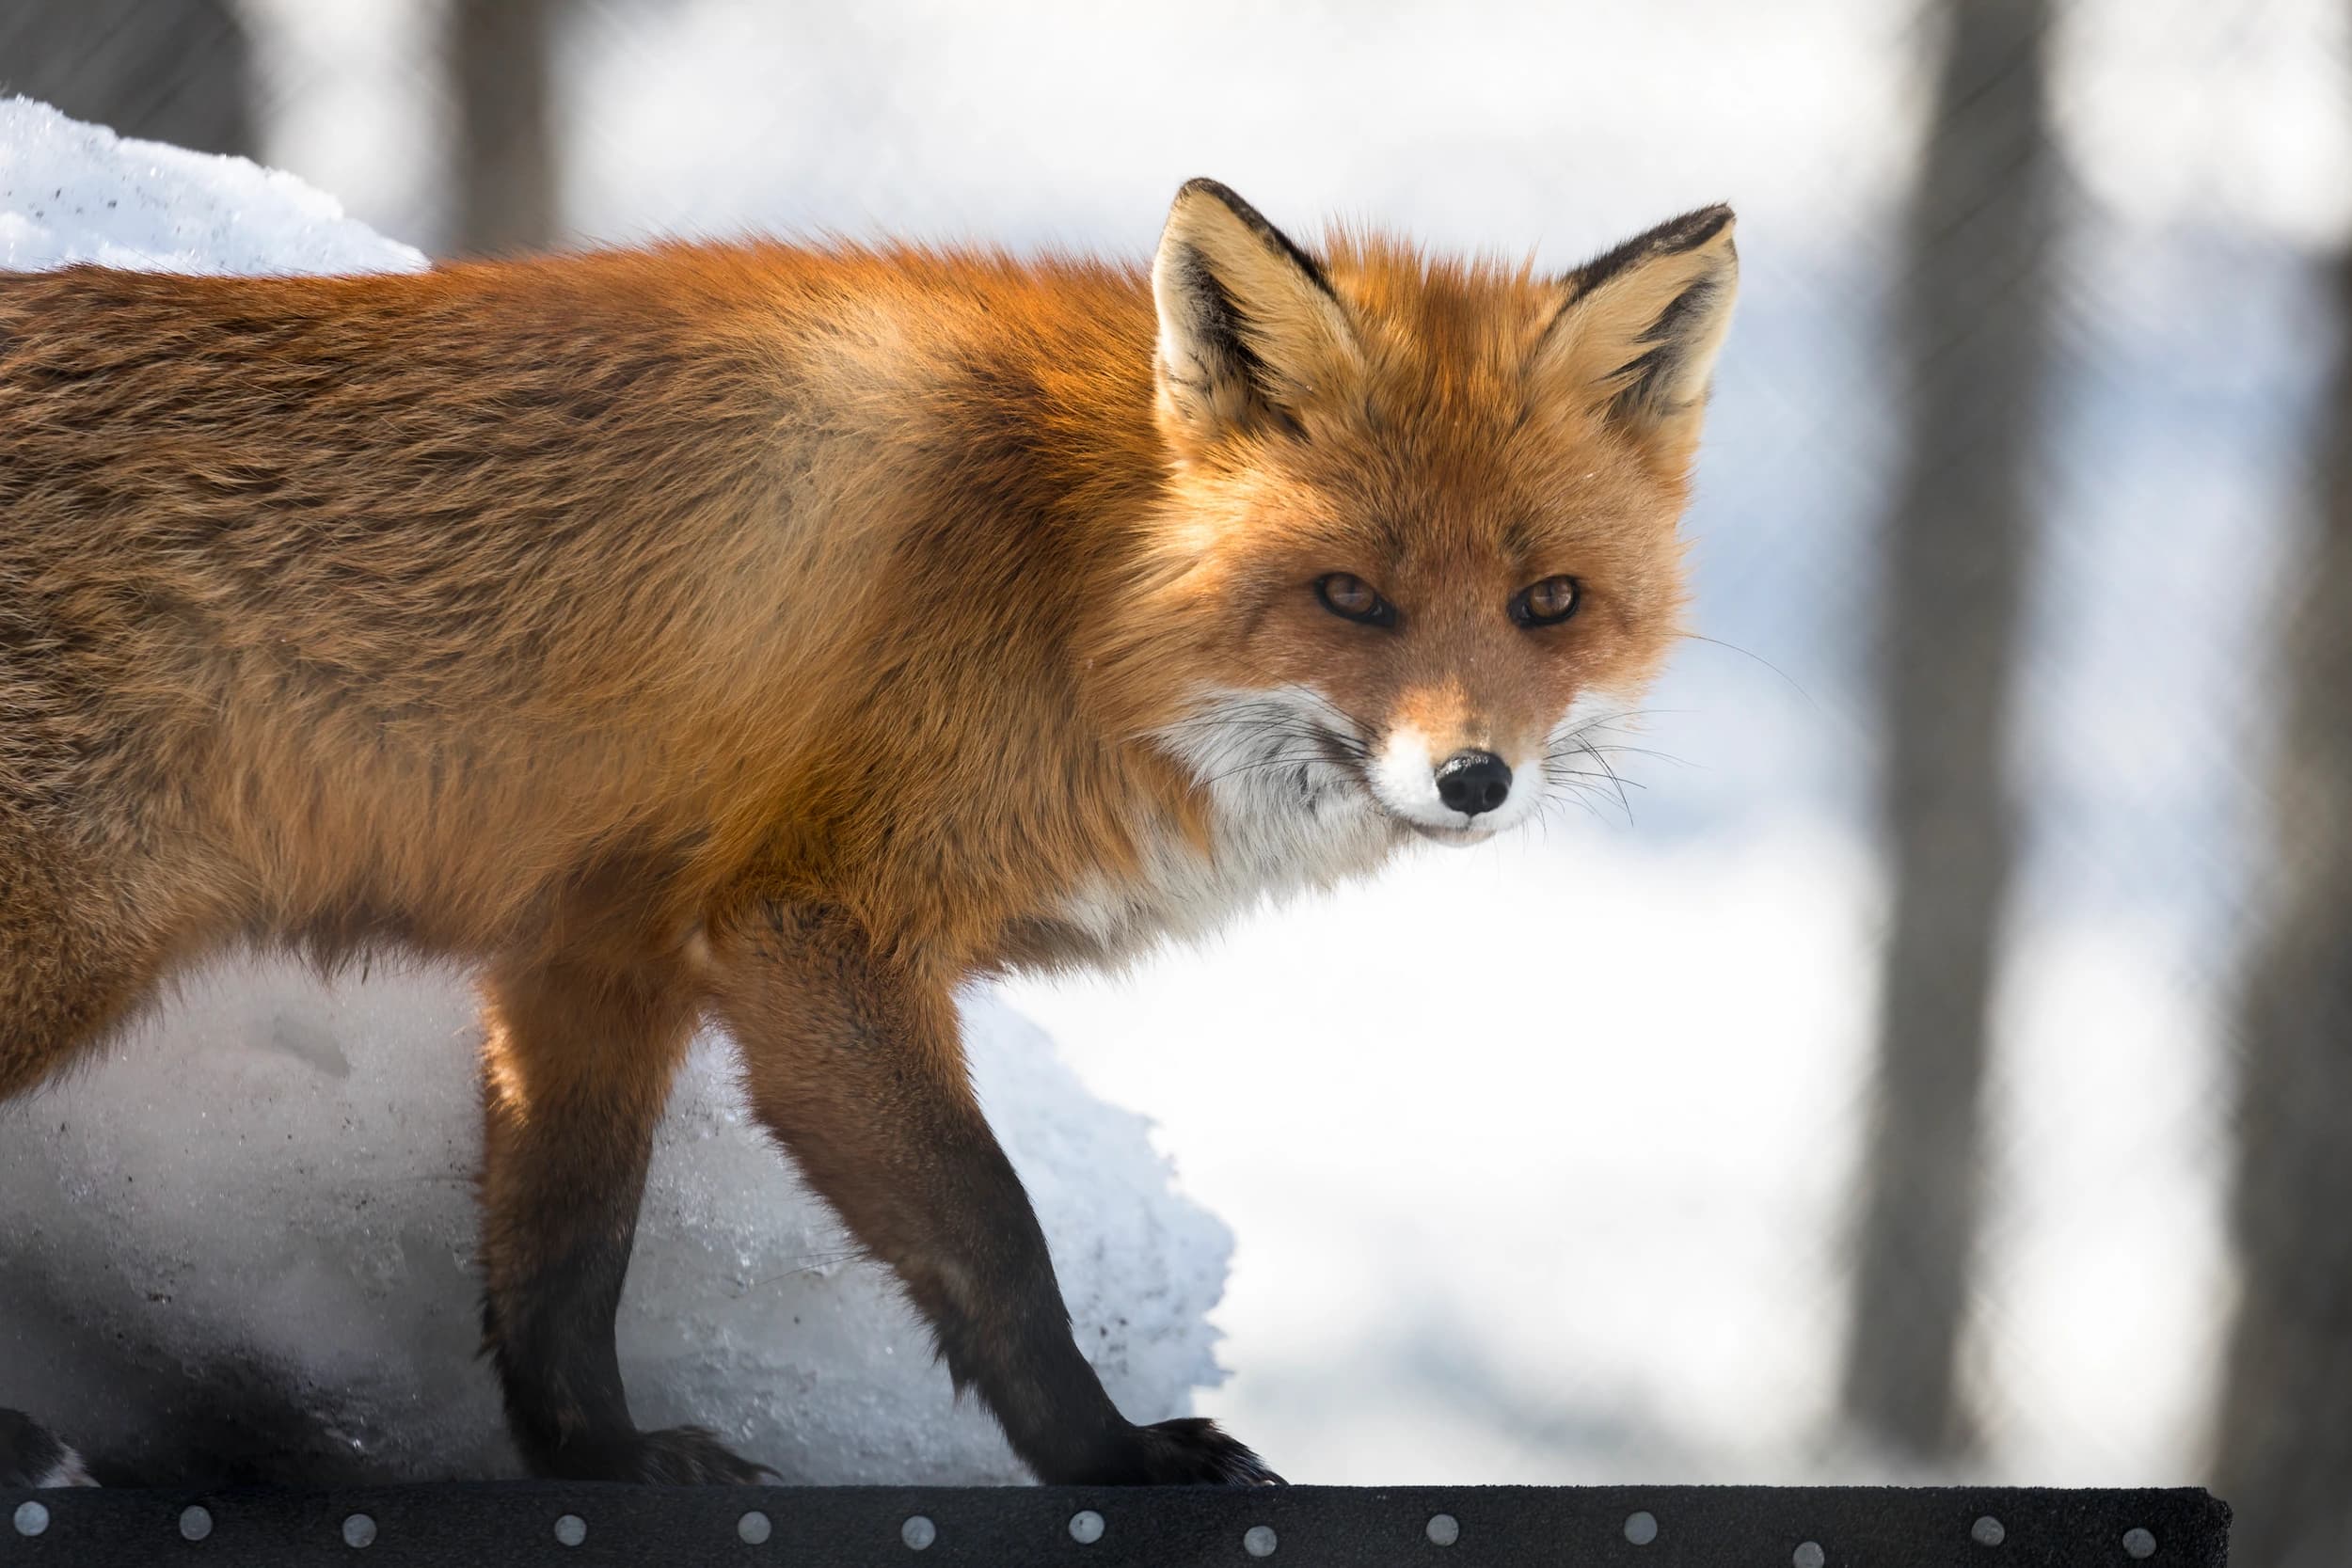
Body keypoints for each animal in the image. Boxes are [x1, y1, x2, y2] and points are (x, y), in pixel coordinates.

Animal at [0, 179, 1736, 1485]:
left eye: (1550, 603)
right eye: (1351, 597)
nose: (1472, 777)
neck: (1078, 584)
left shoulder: (600, 948)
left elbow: (562, 1250)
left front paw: (601, 1460)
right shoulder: (808, 927)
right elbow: (995, 1234)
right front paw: (1107, 1457)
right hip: (60, 945)